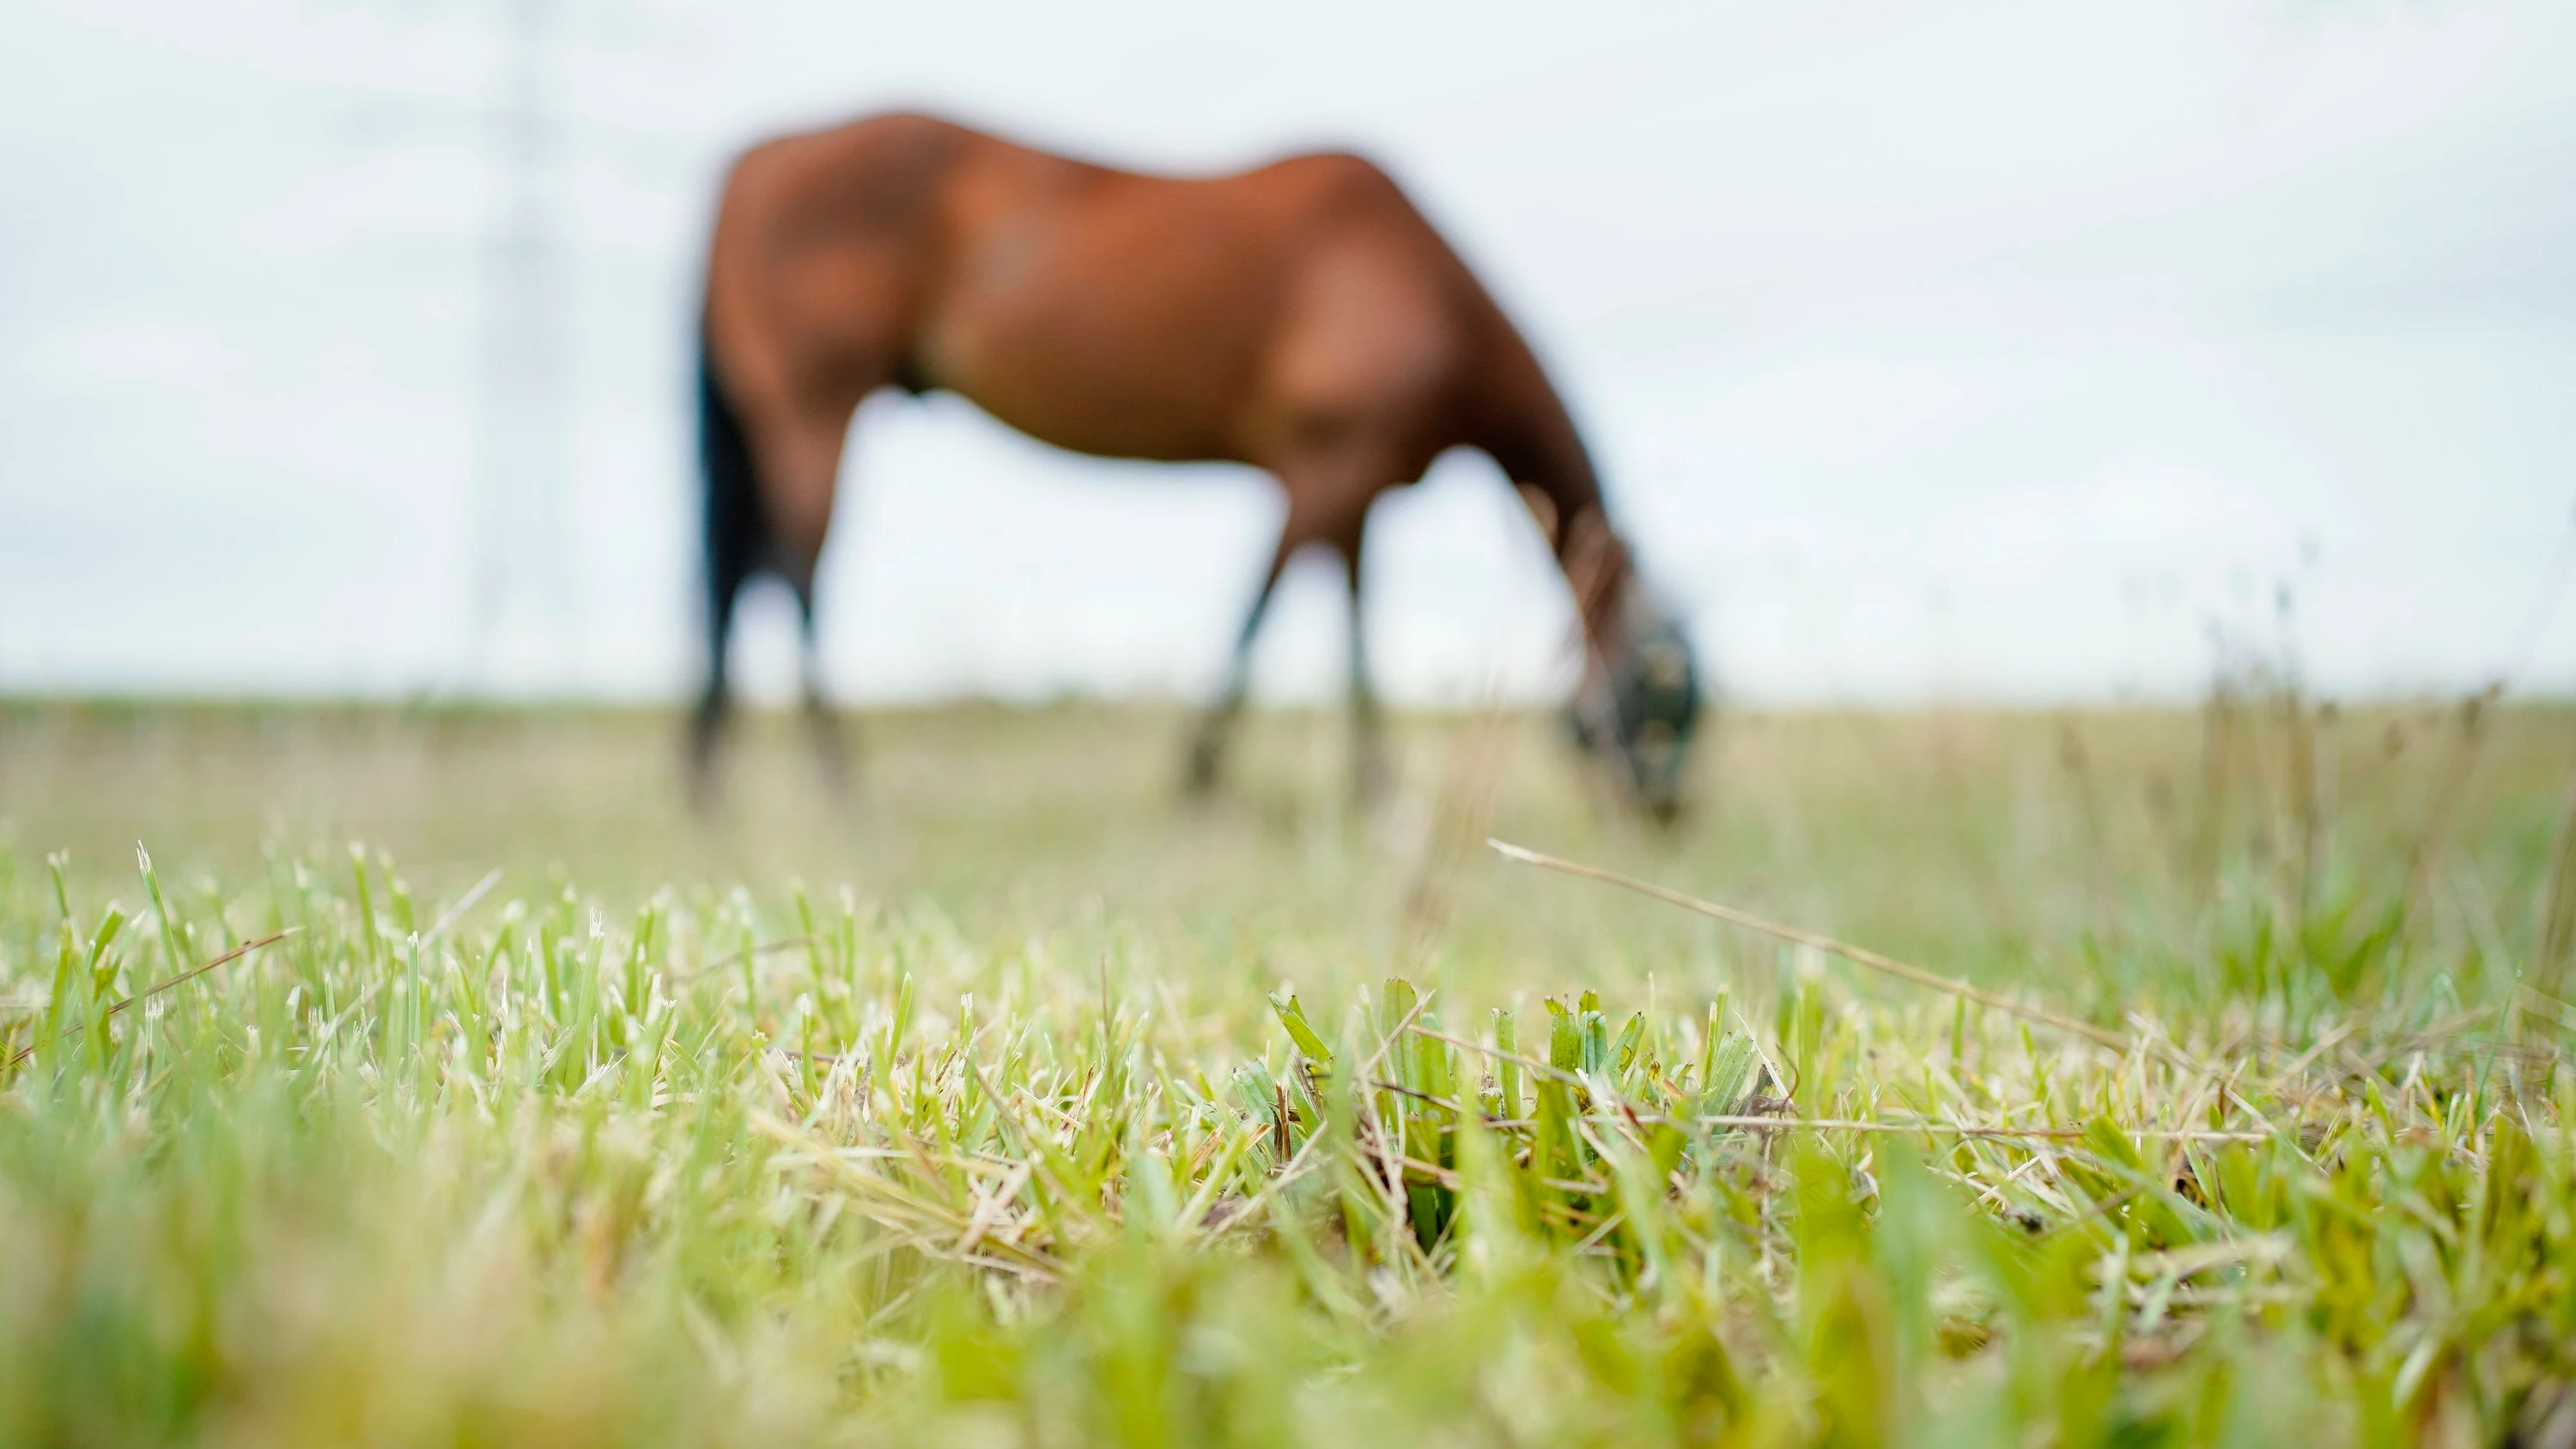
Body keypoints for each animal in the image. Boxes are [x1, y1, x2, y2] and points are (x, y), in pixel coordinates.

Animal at [692, 111, 1701, 817]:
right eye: (1669, 697)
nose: (1669, 814)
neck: (1422, 291)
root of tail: (756, 157)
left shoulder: (1357, 488)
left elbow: (1352, 629)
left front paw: (1374, 794)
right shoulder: (1322, 474)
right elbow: (1259, 615)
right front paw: (1199, 783)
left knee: (743, 575)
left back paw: (705, 782)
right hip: (816, 409)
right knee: (791, 574)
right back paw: (840, 786)